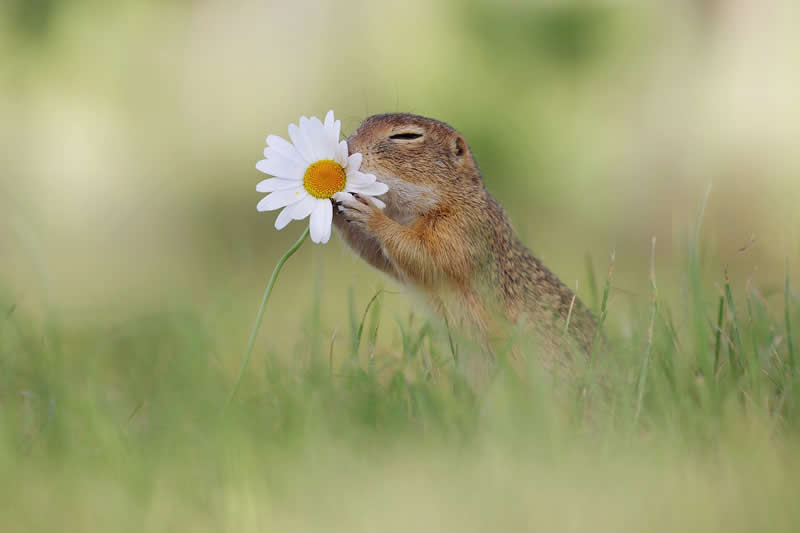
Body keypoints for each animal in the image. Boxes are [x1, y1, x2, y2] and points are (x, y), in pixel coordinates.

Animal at [333, 113, 596, 373]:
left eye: (406, 136)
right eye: (362, 124)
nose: (347, 148)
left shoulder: (463, 229)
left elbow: (429, 254)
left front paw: (372, 215)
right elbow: (378, 255)